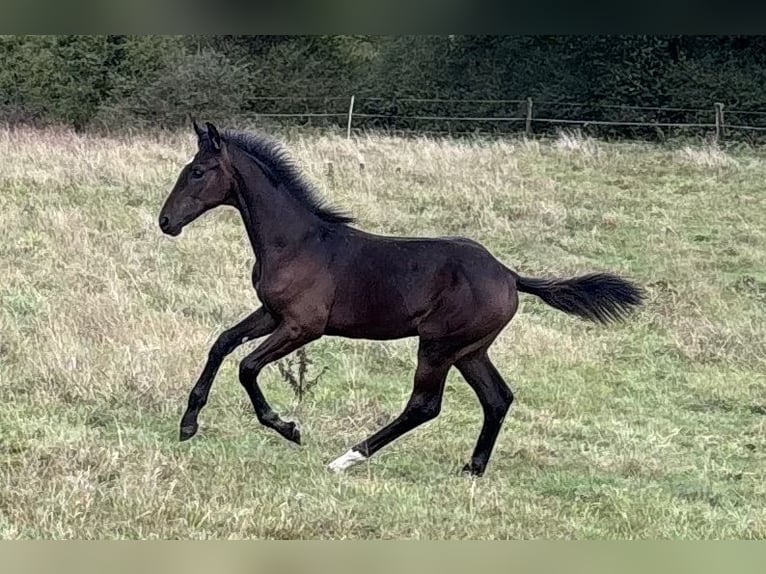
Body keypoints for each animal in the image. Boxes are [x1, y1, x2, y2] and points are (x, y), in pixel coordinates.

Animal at [159, 124, 644, 480]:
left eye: (198, 171)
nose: (165, 221)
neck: (297, 242)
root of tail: (510, 275)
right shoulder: (271, 313)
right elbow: (222, 343)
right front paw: (188, 422)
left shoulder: (303, 325)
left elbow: (247, 366)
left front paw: (287, 427)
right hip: (470, 350)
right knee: (498, 399)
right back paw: (473, 469)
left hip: (438, 345)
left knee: (424, 405)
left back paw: (346, 458)